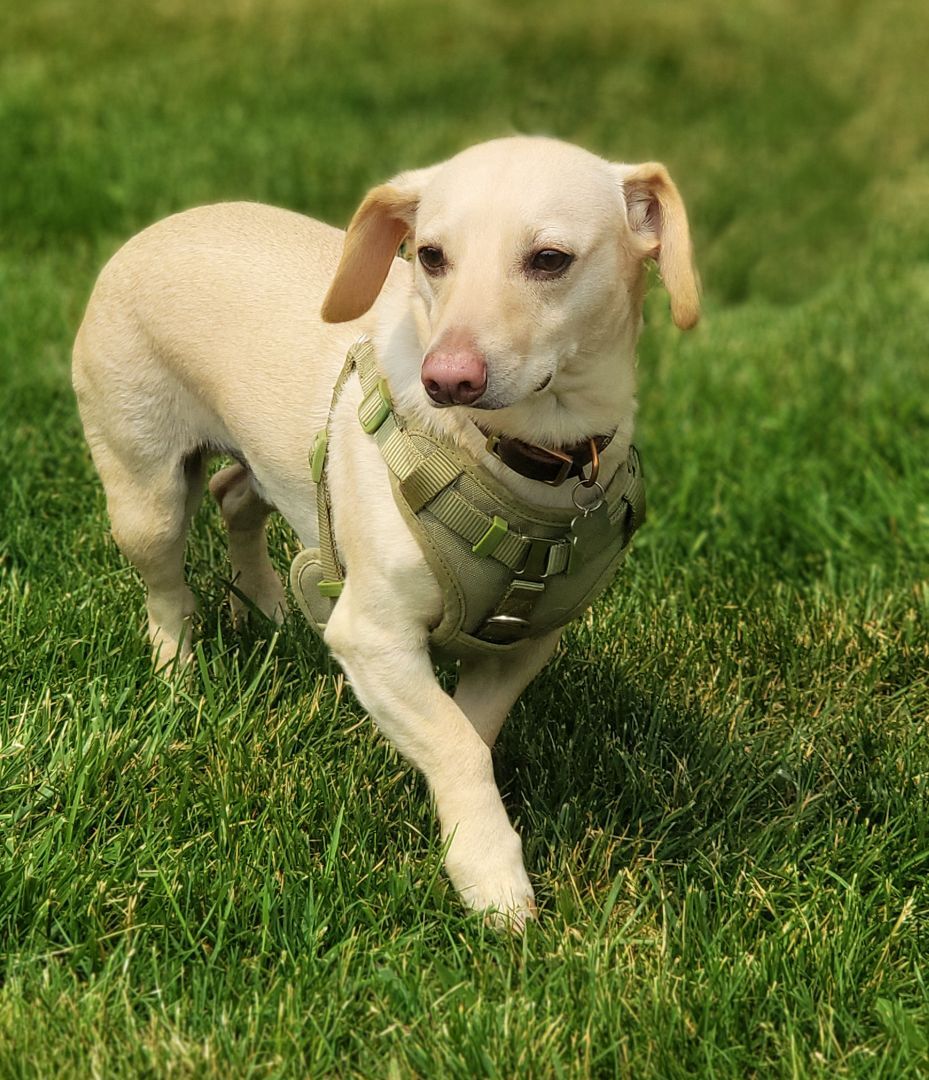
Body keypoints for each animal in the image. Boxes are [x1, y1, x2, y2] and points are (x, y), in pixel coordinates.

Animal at [72, 137, 695, 928]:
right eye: (429, 255)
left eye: (550, 258)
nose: (446, 379)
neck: (521, 459)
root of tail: (151, 232)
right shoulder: (371, 635)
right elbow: (459, 746)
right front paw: (493, 879)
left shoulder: (523, 646)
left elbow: (467, 731)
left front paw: (453, 823)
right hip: (144, 492)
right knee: (166, 586)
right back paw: (178, 673)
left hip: (266, 468)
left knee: (234, 495)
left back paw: (264, 604)